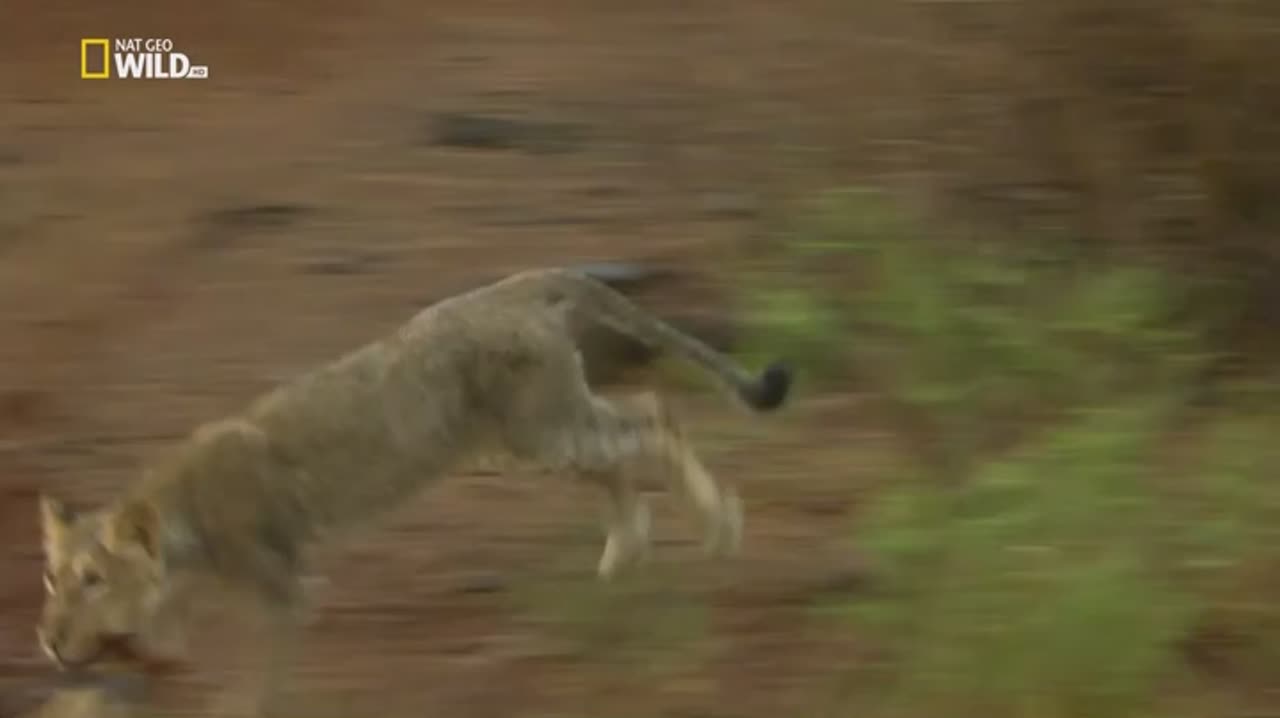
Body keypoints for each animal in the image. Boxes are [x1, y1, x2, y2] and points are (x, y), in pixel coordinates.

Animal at [36, 267, 792, 713]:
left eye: (92, 579)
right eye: (52, 579)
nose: (46, 638)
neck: (180, 532)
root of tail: (517, 284)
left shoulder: (284, 592)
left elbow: (260, 681)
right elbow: (164, 645)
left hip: (547, 430)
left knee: (655, 415)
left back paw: (717, 528)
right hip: (529, 437)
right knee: (623, 451)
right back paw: (623, 556)